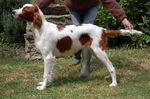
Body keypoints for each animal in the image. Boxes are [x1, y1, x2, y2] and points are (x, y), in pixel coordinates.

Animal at [12, 3, 142, 90]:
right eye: (21, 7)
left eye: (25, 10)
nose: (13, 11)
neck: (41, 29)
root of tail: (102, 29)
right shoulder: (51, 57)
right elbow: (49, 73)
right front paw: (48, 82)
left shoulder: (48, 57)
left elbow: (45, 74)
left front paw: (43, 87)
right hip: (96, 51)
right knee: (109, 65)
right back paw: (108, 77)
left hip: (99, 51)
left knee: (111, 67)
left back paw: (114, 83)